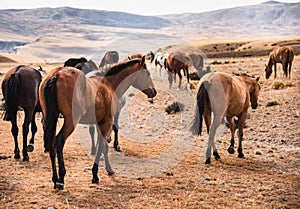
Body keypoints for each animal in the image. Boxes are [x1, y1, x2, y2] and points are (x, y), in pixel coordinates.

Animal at [39, 56, 157, 190]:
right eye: (147, 74)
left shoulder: (99, 123)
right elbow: (102, 145)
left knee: (52, 143)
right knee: (59, 141)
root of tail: (56, 75)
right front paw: (96, 175)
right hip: (70, 122)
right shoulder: (107, 122)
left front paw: (107, 169)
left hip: (51, 119)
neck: (109, 84)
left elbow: (103, 146)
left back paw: (55, 179)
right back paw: (61, 179)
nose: (154, 91)